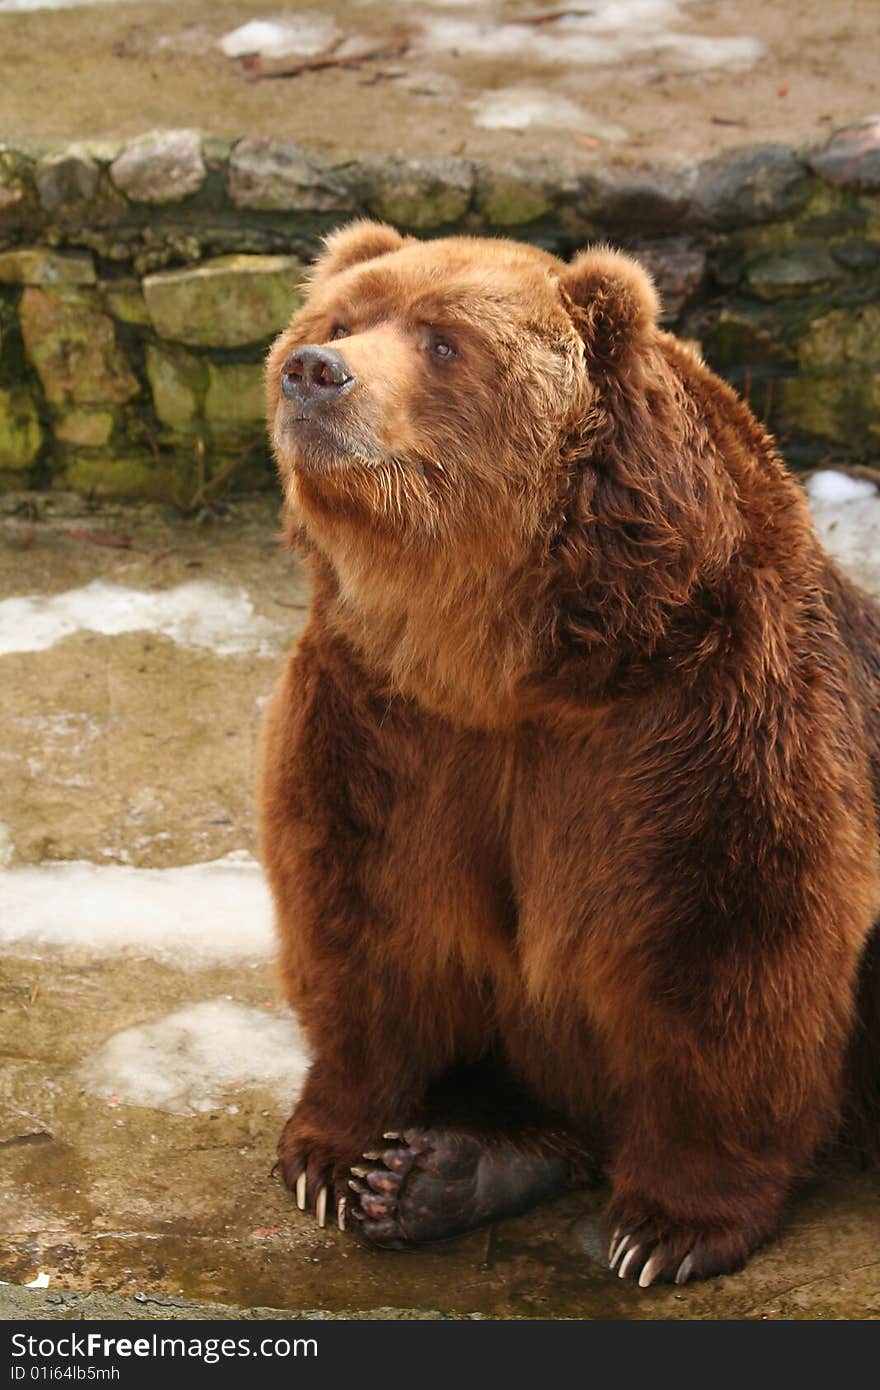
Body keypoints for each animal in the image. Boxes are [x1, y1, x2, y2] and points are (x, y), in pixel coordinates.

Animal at [258, 222, 878, 1284]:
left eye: (444, 341)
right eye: (338, 320)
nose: (315, 373)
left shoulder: (702, 715)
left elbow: (729, 947)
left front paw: (669, 1228)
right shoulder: (384, 718)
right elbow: (362, 912)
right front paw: (337, 1158)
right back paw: (443, 1171)